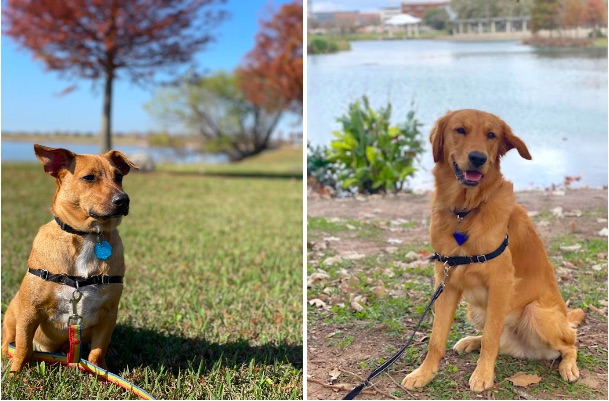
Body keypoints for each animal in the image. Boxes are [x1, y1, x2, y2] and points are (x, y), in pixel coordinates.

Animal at [1, 143, 137, 368]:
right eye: (89, 177)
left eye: (119, 176)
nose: (123, 200)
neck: (87, 236)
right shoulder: (30, 311)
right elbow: (22, 348)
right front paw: (15, 372)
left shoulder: (109, 314)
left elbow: (97, 352)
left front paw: (99, 372)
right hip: (13, 313)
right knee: (9, 341)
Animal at [404, 110, 584, 390]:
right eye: (460, 130)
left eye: (492, 135)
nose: (478, 158)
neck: (465, 210)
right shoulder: (446, 284)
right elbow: (436, 340)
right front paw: (424, 373)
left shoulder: (500, 283)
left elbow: (490, 337)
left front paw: (483, 375)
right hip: (476, 309)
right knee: (500, 339)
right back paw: (470, 341)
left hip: (536, 313)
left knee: (569, 344)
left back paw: (568, 366)